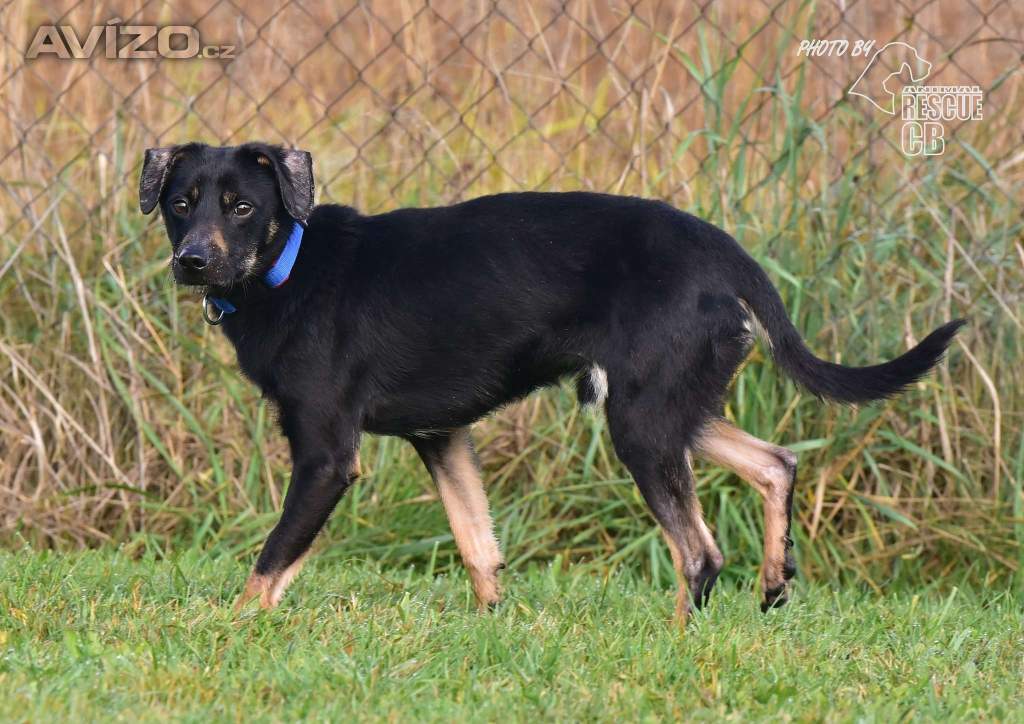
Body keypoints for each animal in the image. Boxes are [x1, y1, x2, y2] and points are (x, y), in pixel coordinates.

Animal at [139, 142, 963, 622]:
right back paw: (773, 582)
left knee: (699, 554)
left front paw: (228, 635)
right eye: (180, 204)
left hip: (641, 424)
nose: (192, 262)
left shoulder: (325, 457)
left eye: (243, 206)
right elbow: (477, 544)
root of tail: (723, 251)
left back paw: (678, 643)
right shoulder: (441, 437)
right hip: (667, 407)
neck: (288, 263)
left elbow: (269, 563)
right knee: (776, 462)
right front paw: (491, 629)